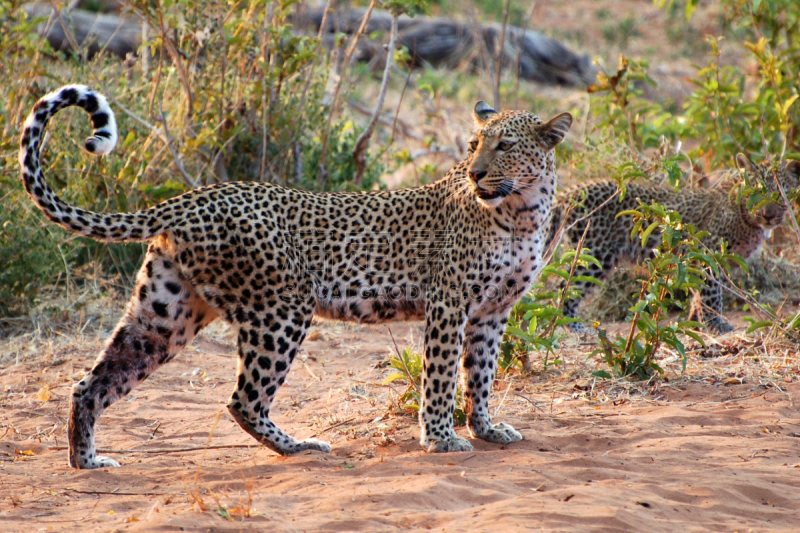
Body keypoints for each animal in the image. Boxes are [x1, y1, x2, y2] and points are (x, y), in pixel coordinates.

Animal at [15, 85, 572, 468]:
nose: (476, 173)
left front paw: (487, 429)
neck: (520, 212)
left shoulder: (493, 311)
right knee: (243, 400)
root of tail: (190, 197)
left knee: (91, 383)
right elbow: (440, 375)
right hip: (281, 310)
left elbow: (481, 374)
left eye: (505, 146)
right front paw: (440, 438)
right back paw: (300, 446)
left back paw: (87, 460)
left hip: (164, 313)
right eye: (476, 144)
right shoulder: (449, 304)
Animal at [548, 154, 796, 334]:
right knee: (564, 288)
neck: (747, 218)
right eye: (756, 193)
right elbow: (711, 295)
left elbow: (698, 294)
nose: (768, 216)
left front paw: (695, 322)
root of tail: (566, 194)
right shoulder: (708, 256)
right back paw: (575, 327)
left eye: (779, 196)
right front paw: (716, 325)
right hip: (594, 255)